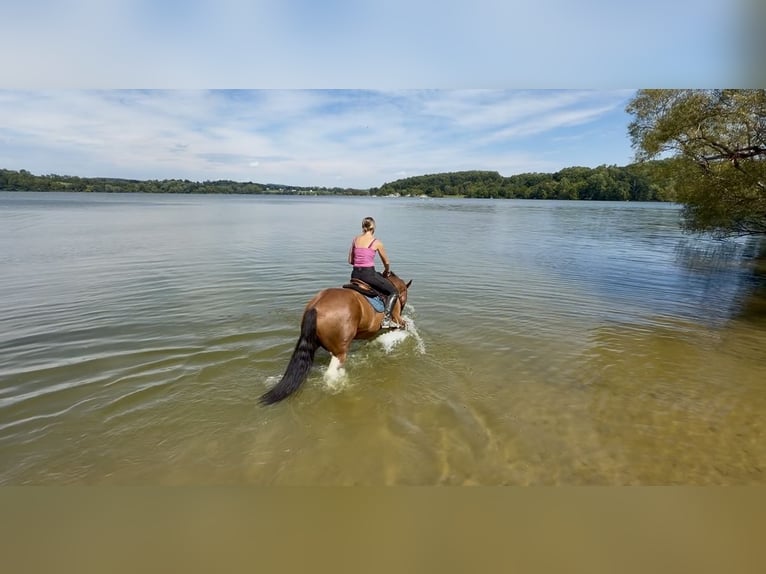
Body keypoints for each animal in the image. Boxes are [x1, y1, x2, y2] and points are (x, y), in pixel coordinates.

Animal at [259, 271, 412, 405]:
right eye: (404, 294)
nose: (402, 306)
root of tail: (315, 307)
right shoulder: (398, 321)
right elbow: (403, 328)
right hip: (340, 351)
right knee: (331, 374)